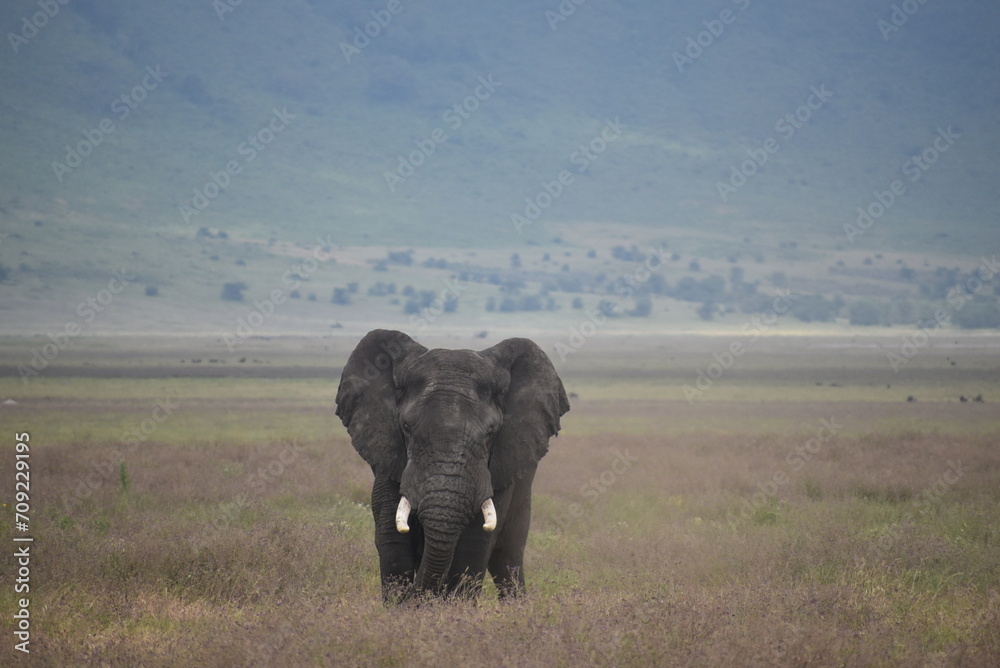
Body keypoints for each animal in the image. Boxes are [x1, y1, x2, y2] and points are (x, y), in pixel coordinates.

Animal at [335, 329, 569, 601]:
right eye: (406, 428)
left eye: (490, 432)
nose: (419, 598)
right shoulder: (388, 456)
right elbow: (392, 539)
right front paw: (402, 605)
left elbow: (474, 545)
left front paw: (450, 607)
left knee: (508, 557)